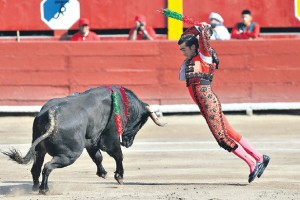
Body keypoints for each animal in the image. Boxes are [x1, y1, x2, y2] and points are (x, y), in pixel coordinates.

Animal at [1, 85, 164, 194]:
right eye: (141, 123)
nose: (128, 143)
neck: (123, 103)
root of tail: (52, 113)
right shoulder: (109, 137)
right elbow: (118, 155)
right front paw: (119, 177)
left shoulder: (91, 141)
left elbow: (97, 157)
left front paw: (103, 173)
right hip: (70, 154)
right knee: (47, 167)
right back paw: (44, 189)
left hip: (40, 150)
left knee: (36, 168)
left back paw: (35, 188)